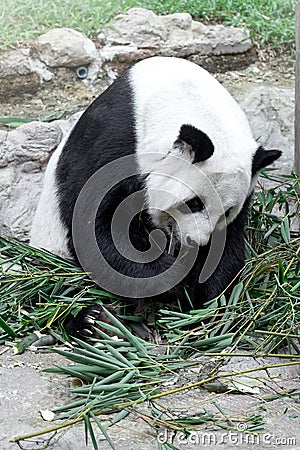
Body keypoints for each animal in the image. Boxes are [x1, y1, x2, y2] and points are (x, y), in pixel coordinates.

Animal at [29, 56, 280, 338]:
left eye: (226, 212)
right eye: (194, 203)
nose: (196, 242)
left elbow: (227, 247)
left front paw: (200, 307)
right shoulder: (114, 140)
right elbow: (94, 227)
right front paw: (173, 279)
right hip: (51, 250)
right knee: (54, 287)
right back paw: (91, 320)